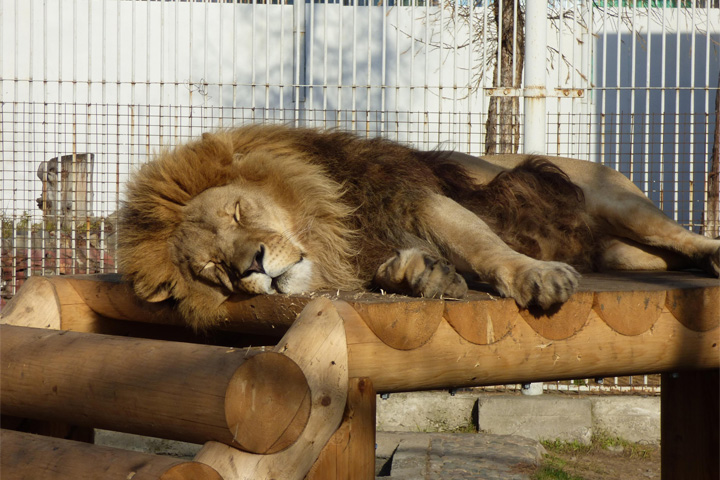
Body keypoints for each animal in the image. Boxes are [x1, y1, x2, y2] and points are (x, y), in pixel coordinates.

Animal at [119, 123, 720, 330]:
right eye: (214, 268)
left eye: (239, 213)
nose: (255, 268)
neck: (329, 232)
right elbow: (397, 268)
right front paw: (423, 275)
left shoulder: (418, 200)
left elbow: (484, 245)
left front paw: (537, 277)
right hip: (622, 252)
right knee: (664, 258)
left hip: (620, 205)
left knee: (684, 237)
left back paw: (713, 254)